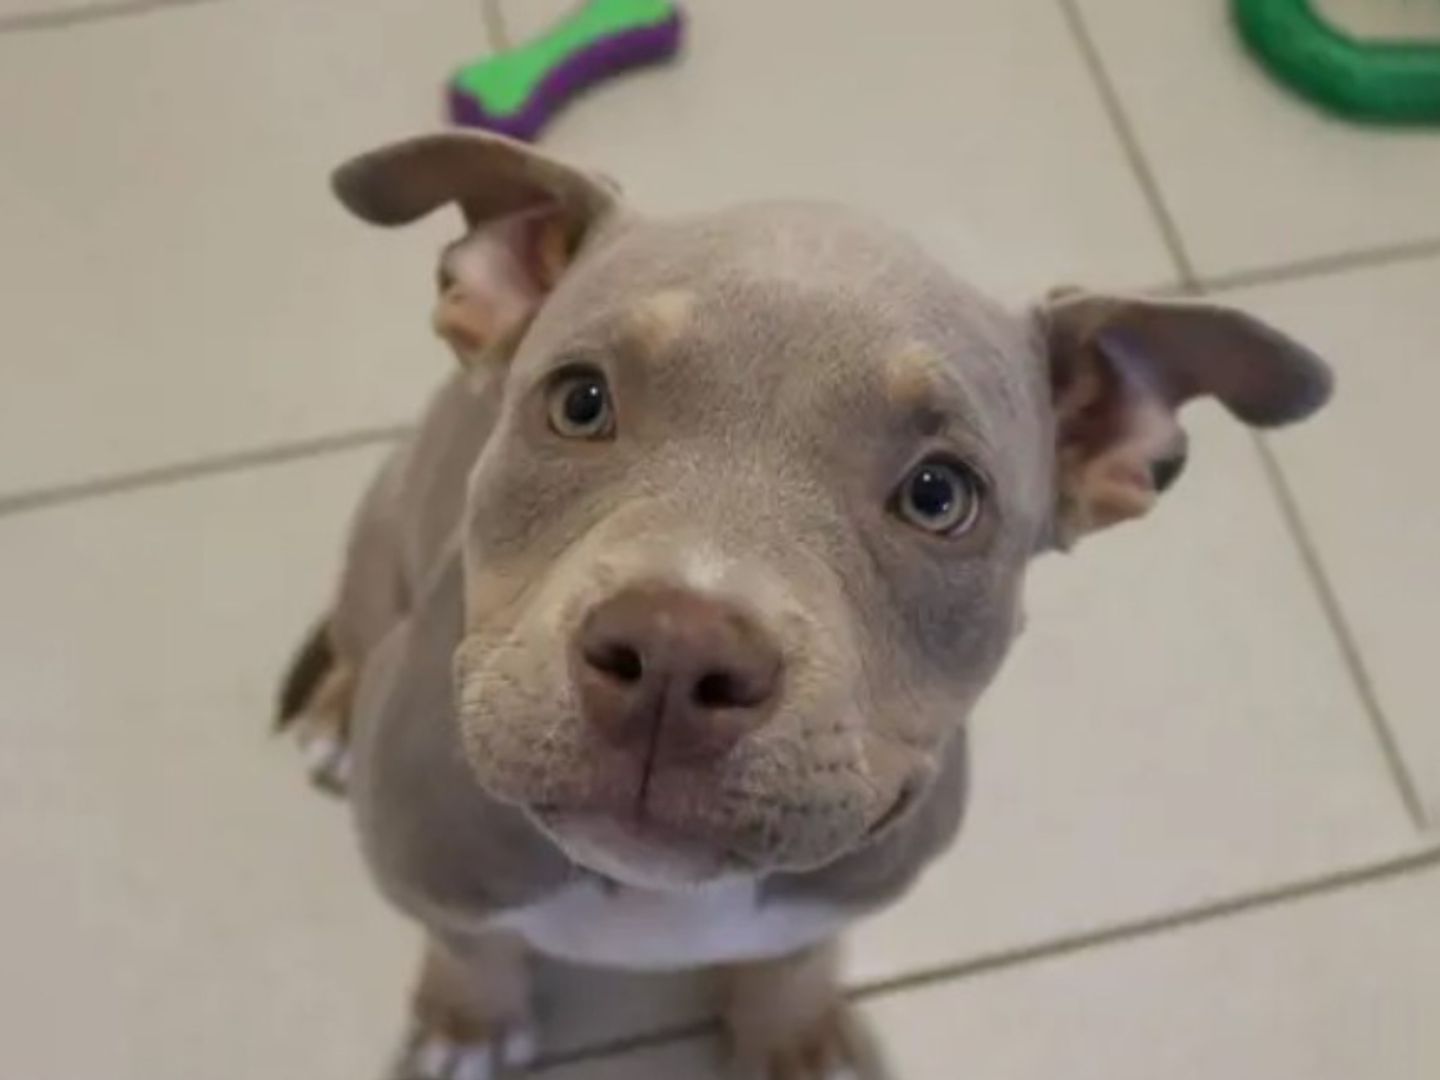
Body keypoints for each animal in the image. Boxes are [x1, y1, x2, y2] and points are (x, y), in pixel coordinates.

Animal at [275, 128, 1330, 1080]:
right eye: (579, 401)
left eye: (939, 495)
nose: (675, 652)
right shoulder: (422, 865)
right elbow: (471, 944)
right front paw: (467, 1024)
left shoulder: (845, 893)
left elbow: (793, 958)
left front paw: (797, 1039)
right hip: (382, 526)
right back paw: (331, 718)